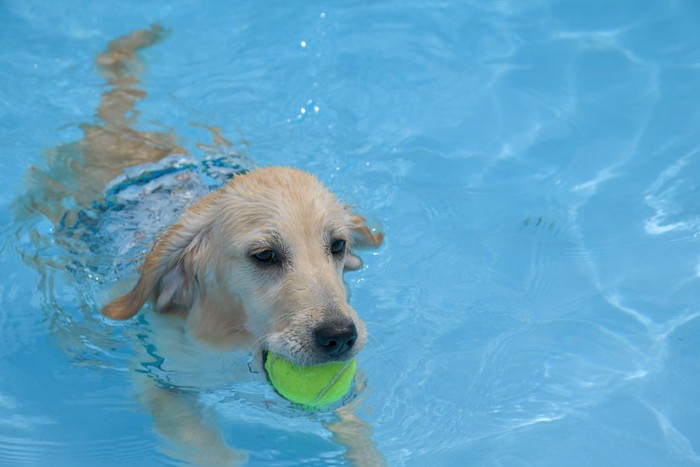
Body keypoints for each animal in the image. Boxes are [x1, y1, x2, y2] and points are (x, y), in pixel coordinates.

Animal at [21, 26, 386, 467]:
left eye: (337, 245)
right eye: (264, 256)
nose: (340, 336)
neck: (232, 342)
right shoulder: (162, 381)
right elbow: (215, 451)